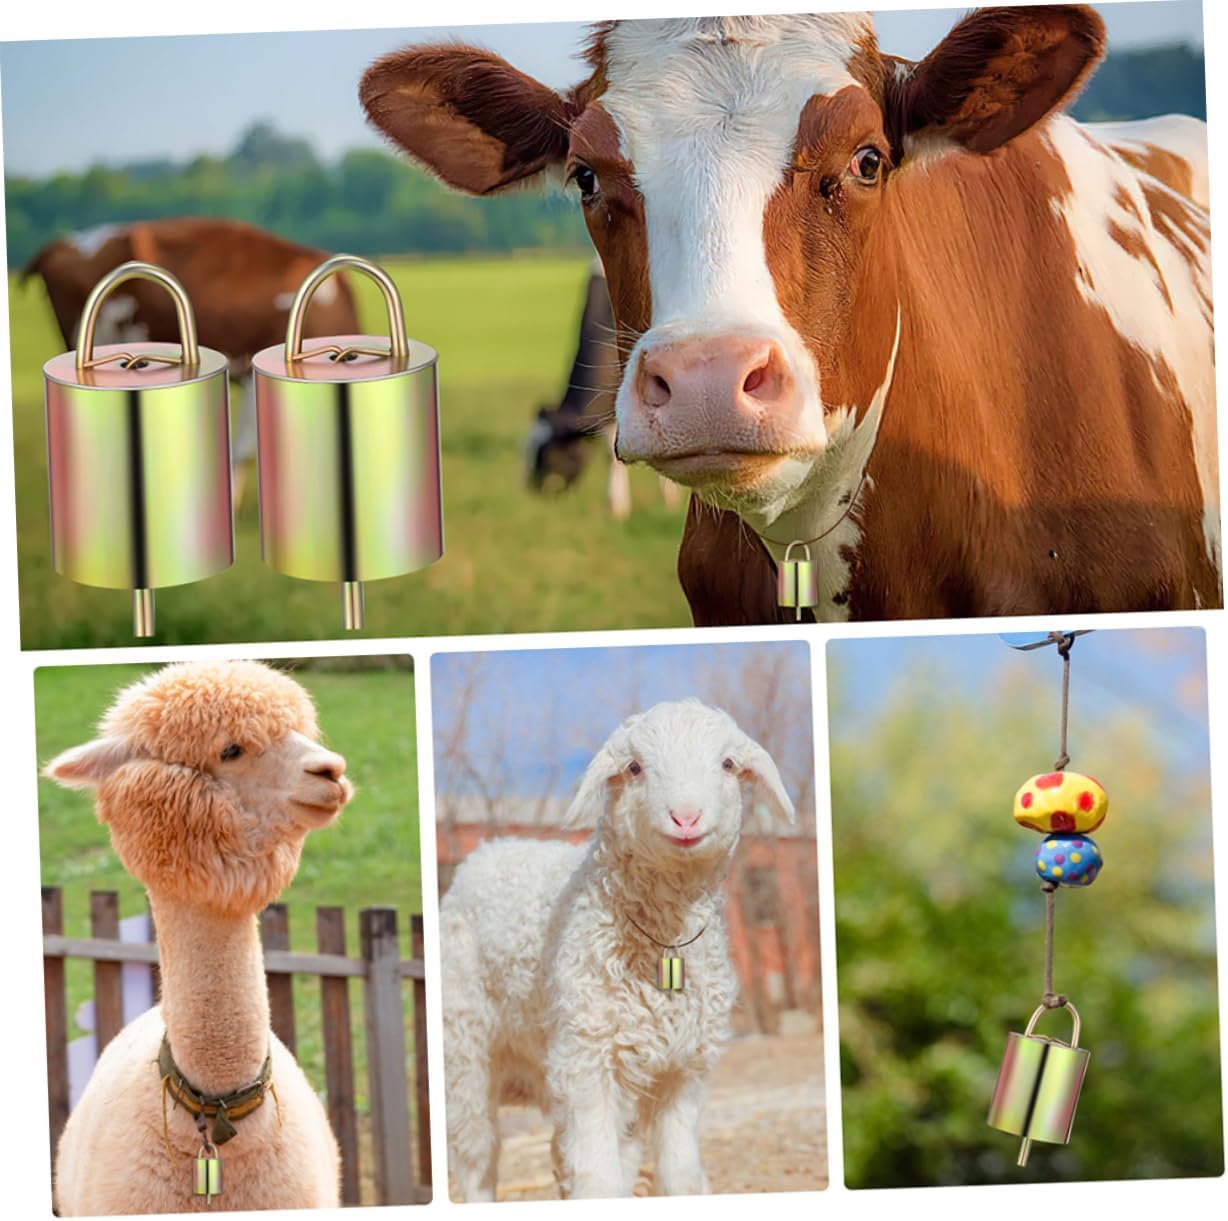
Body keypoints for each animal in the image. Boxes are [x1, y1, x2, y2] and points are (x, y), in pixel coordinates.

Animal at [440, 698, 796, 1201]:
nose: (685, 818)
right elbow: (598, 1180)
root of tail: (489, 849)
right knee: (476, 1156)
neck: (664, 941)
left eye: (727, 764)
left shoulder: (683, 1070)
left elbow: (681, 1175)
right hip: (466, 1049)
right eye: (634, 767)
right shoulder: (586, 1061)